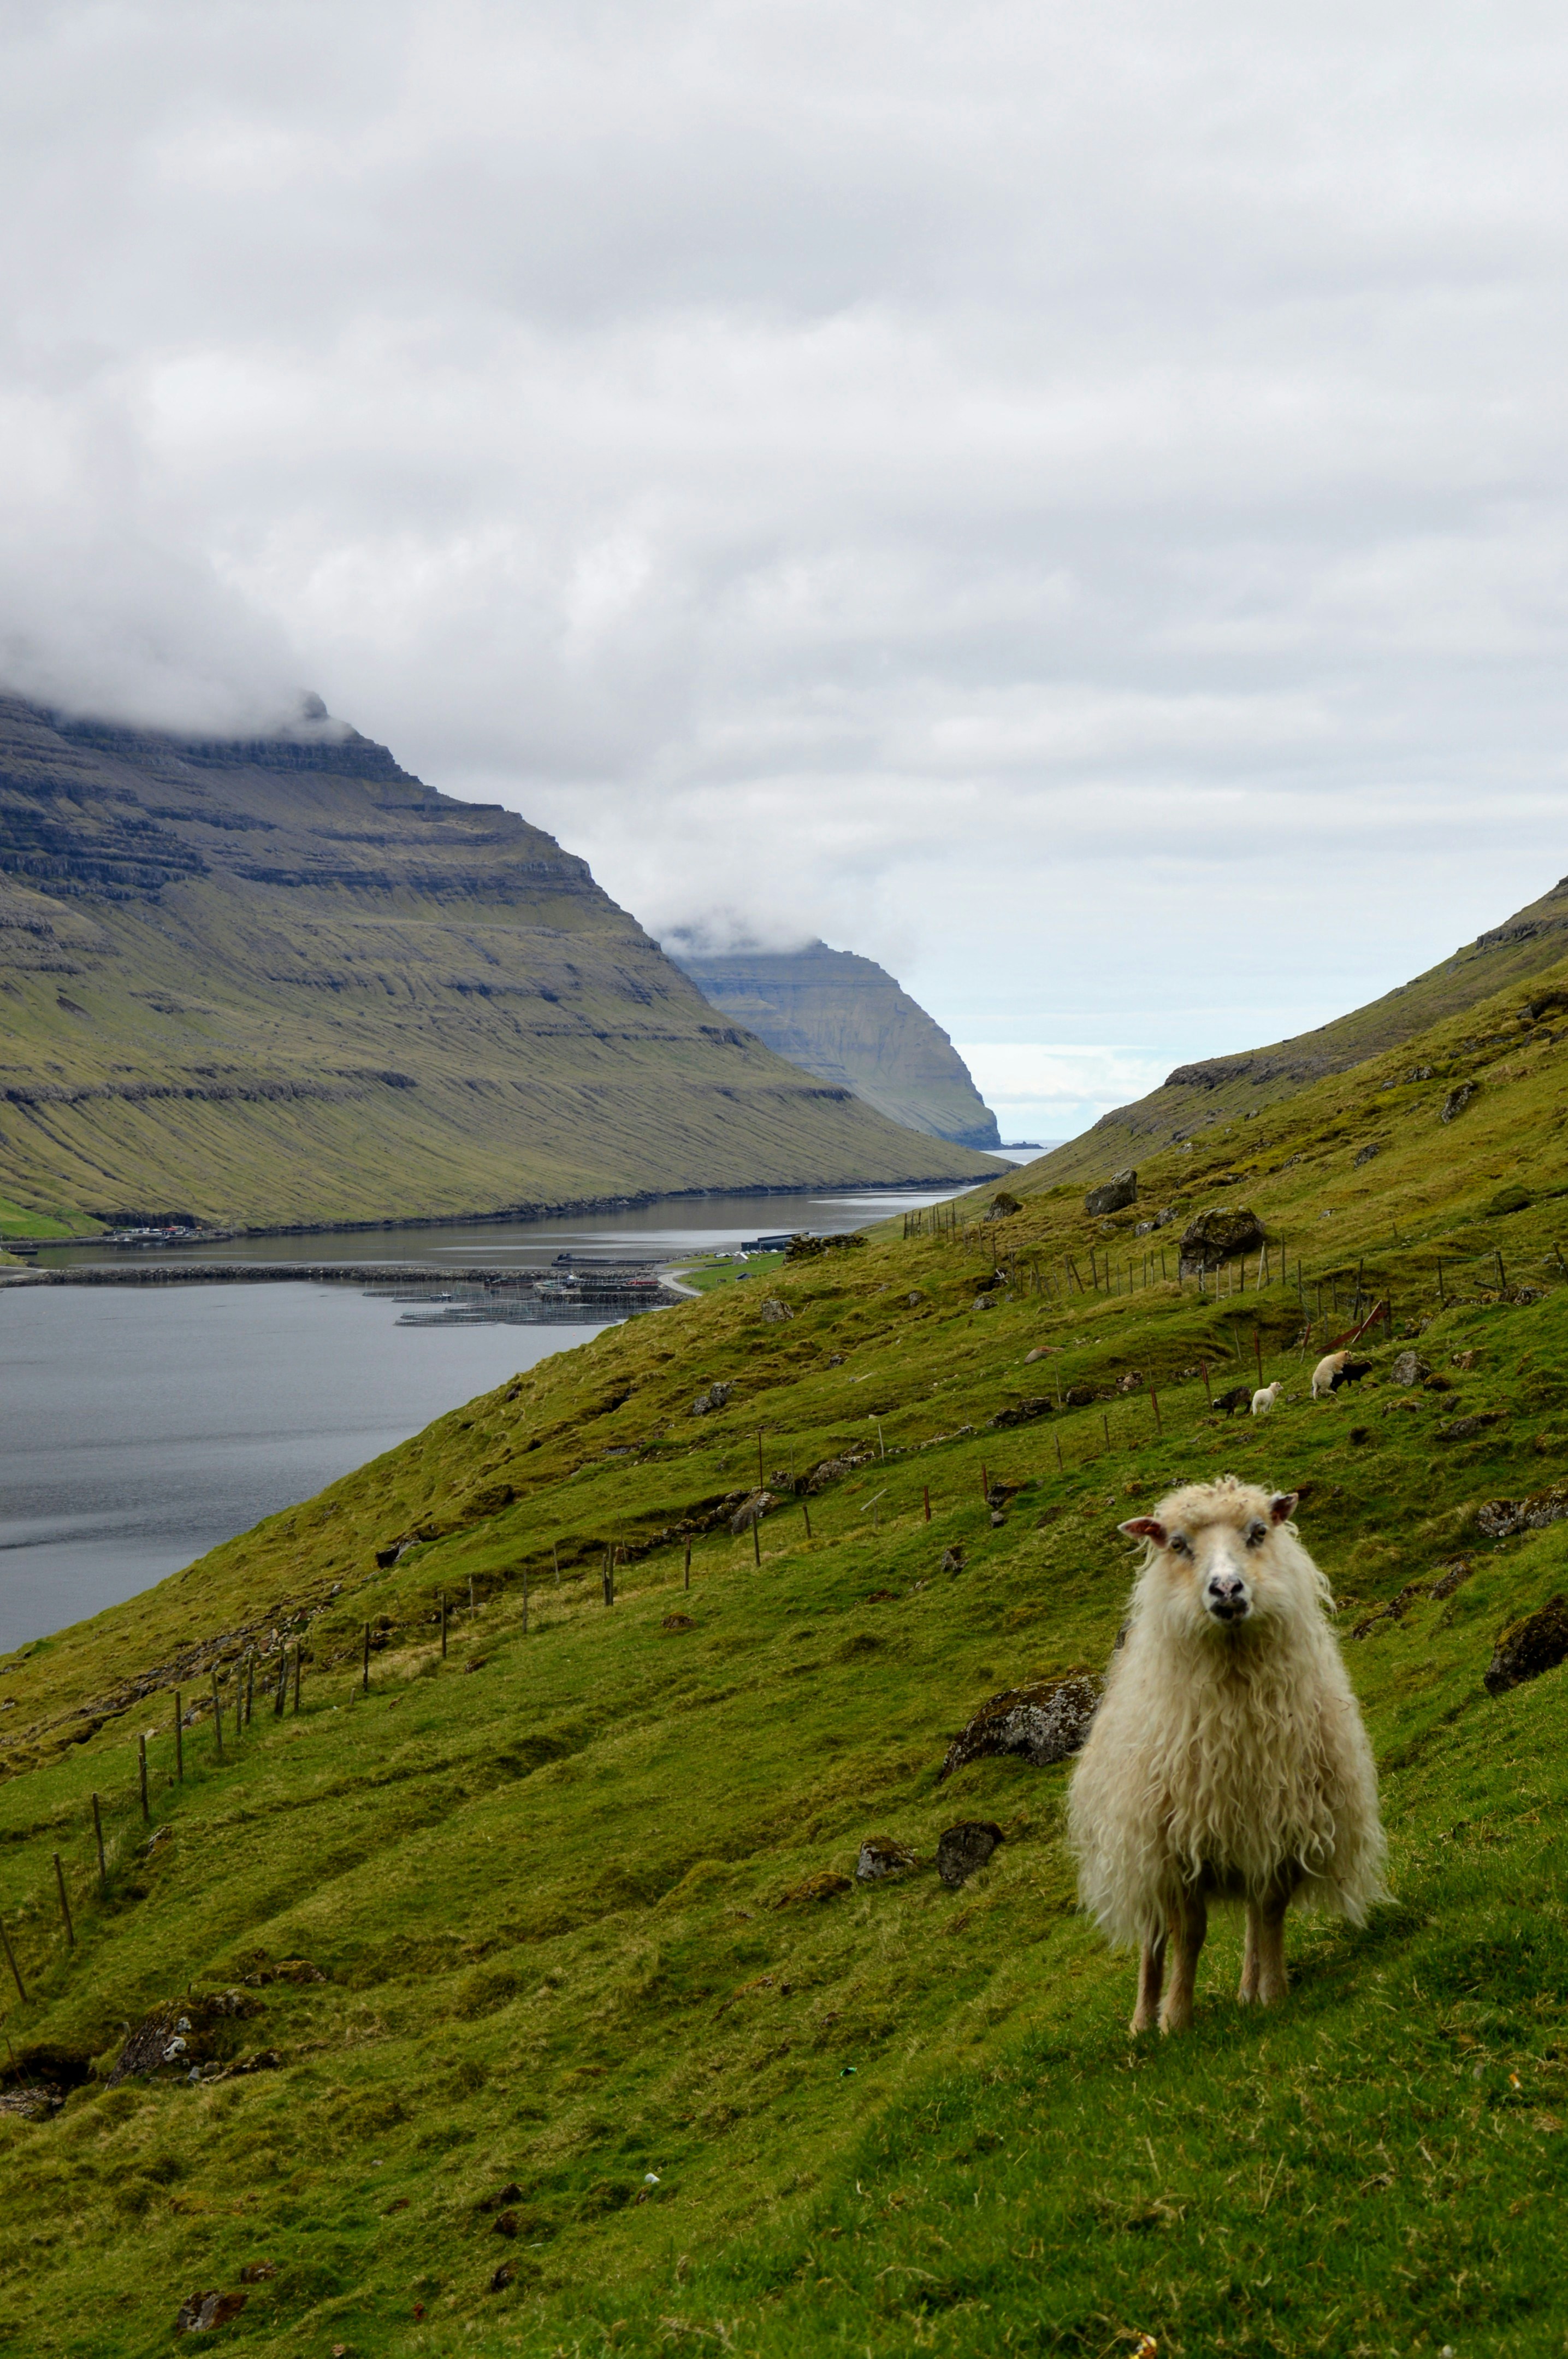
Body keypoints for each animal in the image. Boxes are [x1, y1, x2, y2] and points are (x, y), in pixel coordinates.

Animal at [1067, 1475, 1385, 2035]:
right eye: (1176, 1545)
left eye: (1258, 1532)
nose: (1226, 1590)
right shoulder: (1175, 1849)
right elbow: (1188, 1934)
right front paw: (1175, 2018)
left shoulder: (1282, 1822)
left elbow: (1270, 1912)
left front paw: (1272, 1993)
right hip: (1141, 1850)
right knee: (1153, 1941)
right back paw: (1142, 2022)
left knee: (1253, 1918)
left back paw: (1246, 1991)